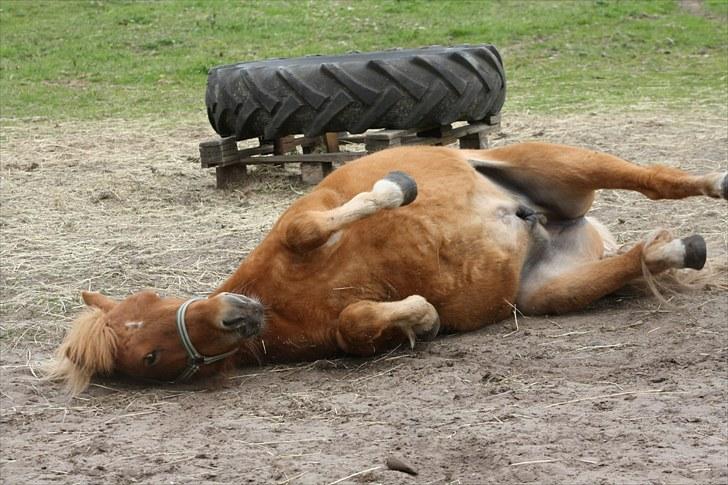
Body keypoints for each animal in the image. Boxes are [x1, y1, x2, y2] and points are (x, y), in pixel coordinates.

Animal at [47, 143, 728, 394]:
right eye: (149, 358)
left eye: (151, 301)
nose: (237, 316)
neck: (276, 298)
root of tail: (548, 220)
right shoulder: (339, 328)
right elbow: (357, 324)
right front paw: (420, 318)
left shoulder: (300, 226)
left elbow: (310, 225)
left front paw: (396, 189)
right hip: (547, 294)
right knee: (636, 261)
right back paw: (677, 251)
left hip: (561, 162)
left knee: (655, 181)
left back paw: (714, 185)